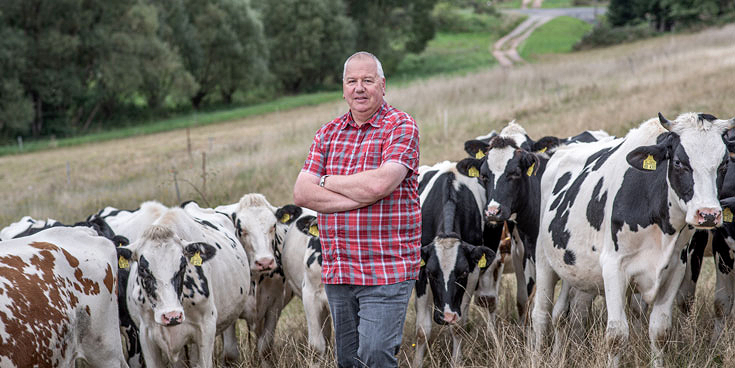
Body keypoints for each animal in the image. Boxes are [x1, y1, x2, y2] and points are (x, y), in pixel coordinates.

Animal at [532, 113, 732, 368]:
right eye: (679, 163)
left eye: (724, 164)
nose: (708, 214)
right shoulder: (613, 268)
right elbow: (616, 336)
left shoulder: (675, 269)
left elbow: (660, 331)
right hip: (543, 260)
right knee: (541, 314)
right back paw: (538, 357)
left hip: (575, 268)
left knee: (564, 314)